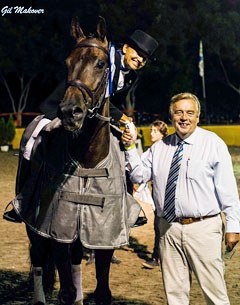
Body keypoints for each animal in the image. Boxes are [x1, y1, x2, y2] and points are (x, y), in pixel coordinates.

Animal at [9, 16, 141, 304]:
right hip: (33, 220)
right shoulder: (59, 229)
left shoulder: (104, 235)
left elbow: (102, 292)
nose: (70, 112)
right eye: (67, 63)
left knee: (76, 261)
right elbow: (66, 290)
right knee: (38, 259)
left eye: (101, 64)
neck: (89, 160)